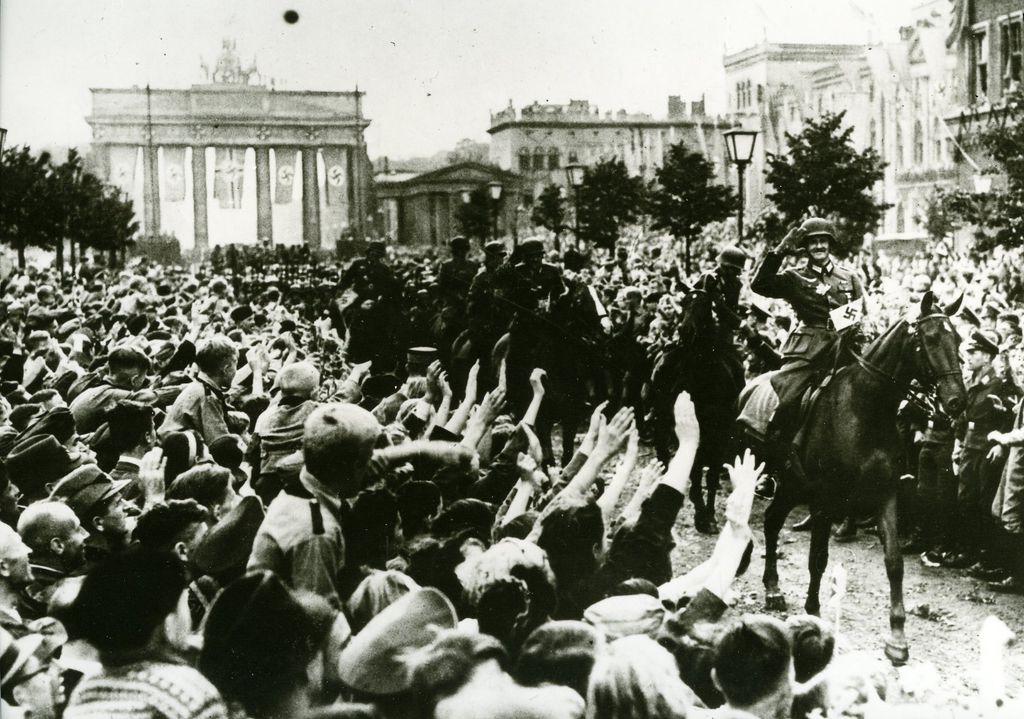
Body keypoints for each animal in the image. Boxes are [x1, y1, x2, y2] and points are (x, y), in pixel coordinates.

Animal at [757, 292, 962, 663]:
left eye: (959, 340)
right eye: (931, 339)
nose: (957, 401)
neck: (866, 407)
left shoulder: (885, 495)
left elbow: (894, 562)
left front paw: (897, 637)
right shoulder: (824, 500)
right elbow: (818, 560)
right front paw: (813, 612)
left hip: (792, 487)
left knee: (771, 520)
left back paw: (773, 588)